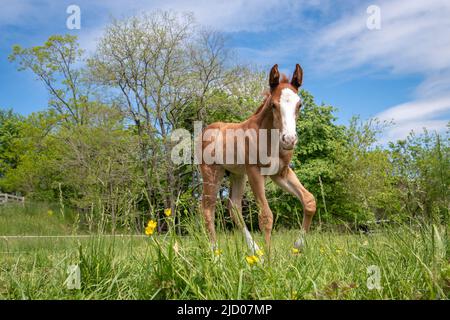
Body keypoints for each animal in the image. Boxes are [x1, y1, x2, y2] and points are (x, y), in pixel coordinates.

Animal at [197, 64, 316, 255]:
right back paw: (216, 254)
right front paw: (269, 259)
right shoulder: (255, 172)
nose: (289, 140)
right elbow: (266, 216)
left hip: (237, 174)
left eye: (299, 104)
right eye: (273, 105)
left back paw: (255, 252)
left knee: (234, 207)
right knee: (208, 208)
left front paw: (296, 248)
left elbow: (309, 201)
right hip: (212, 172)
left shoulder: (280, 173)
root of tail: (206, 130)